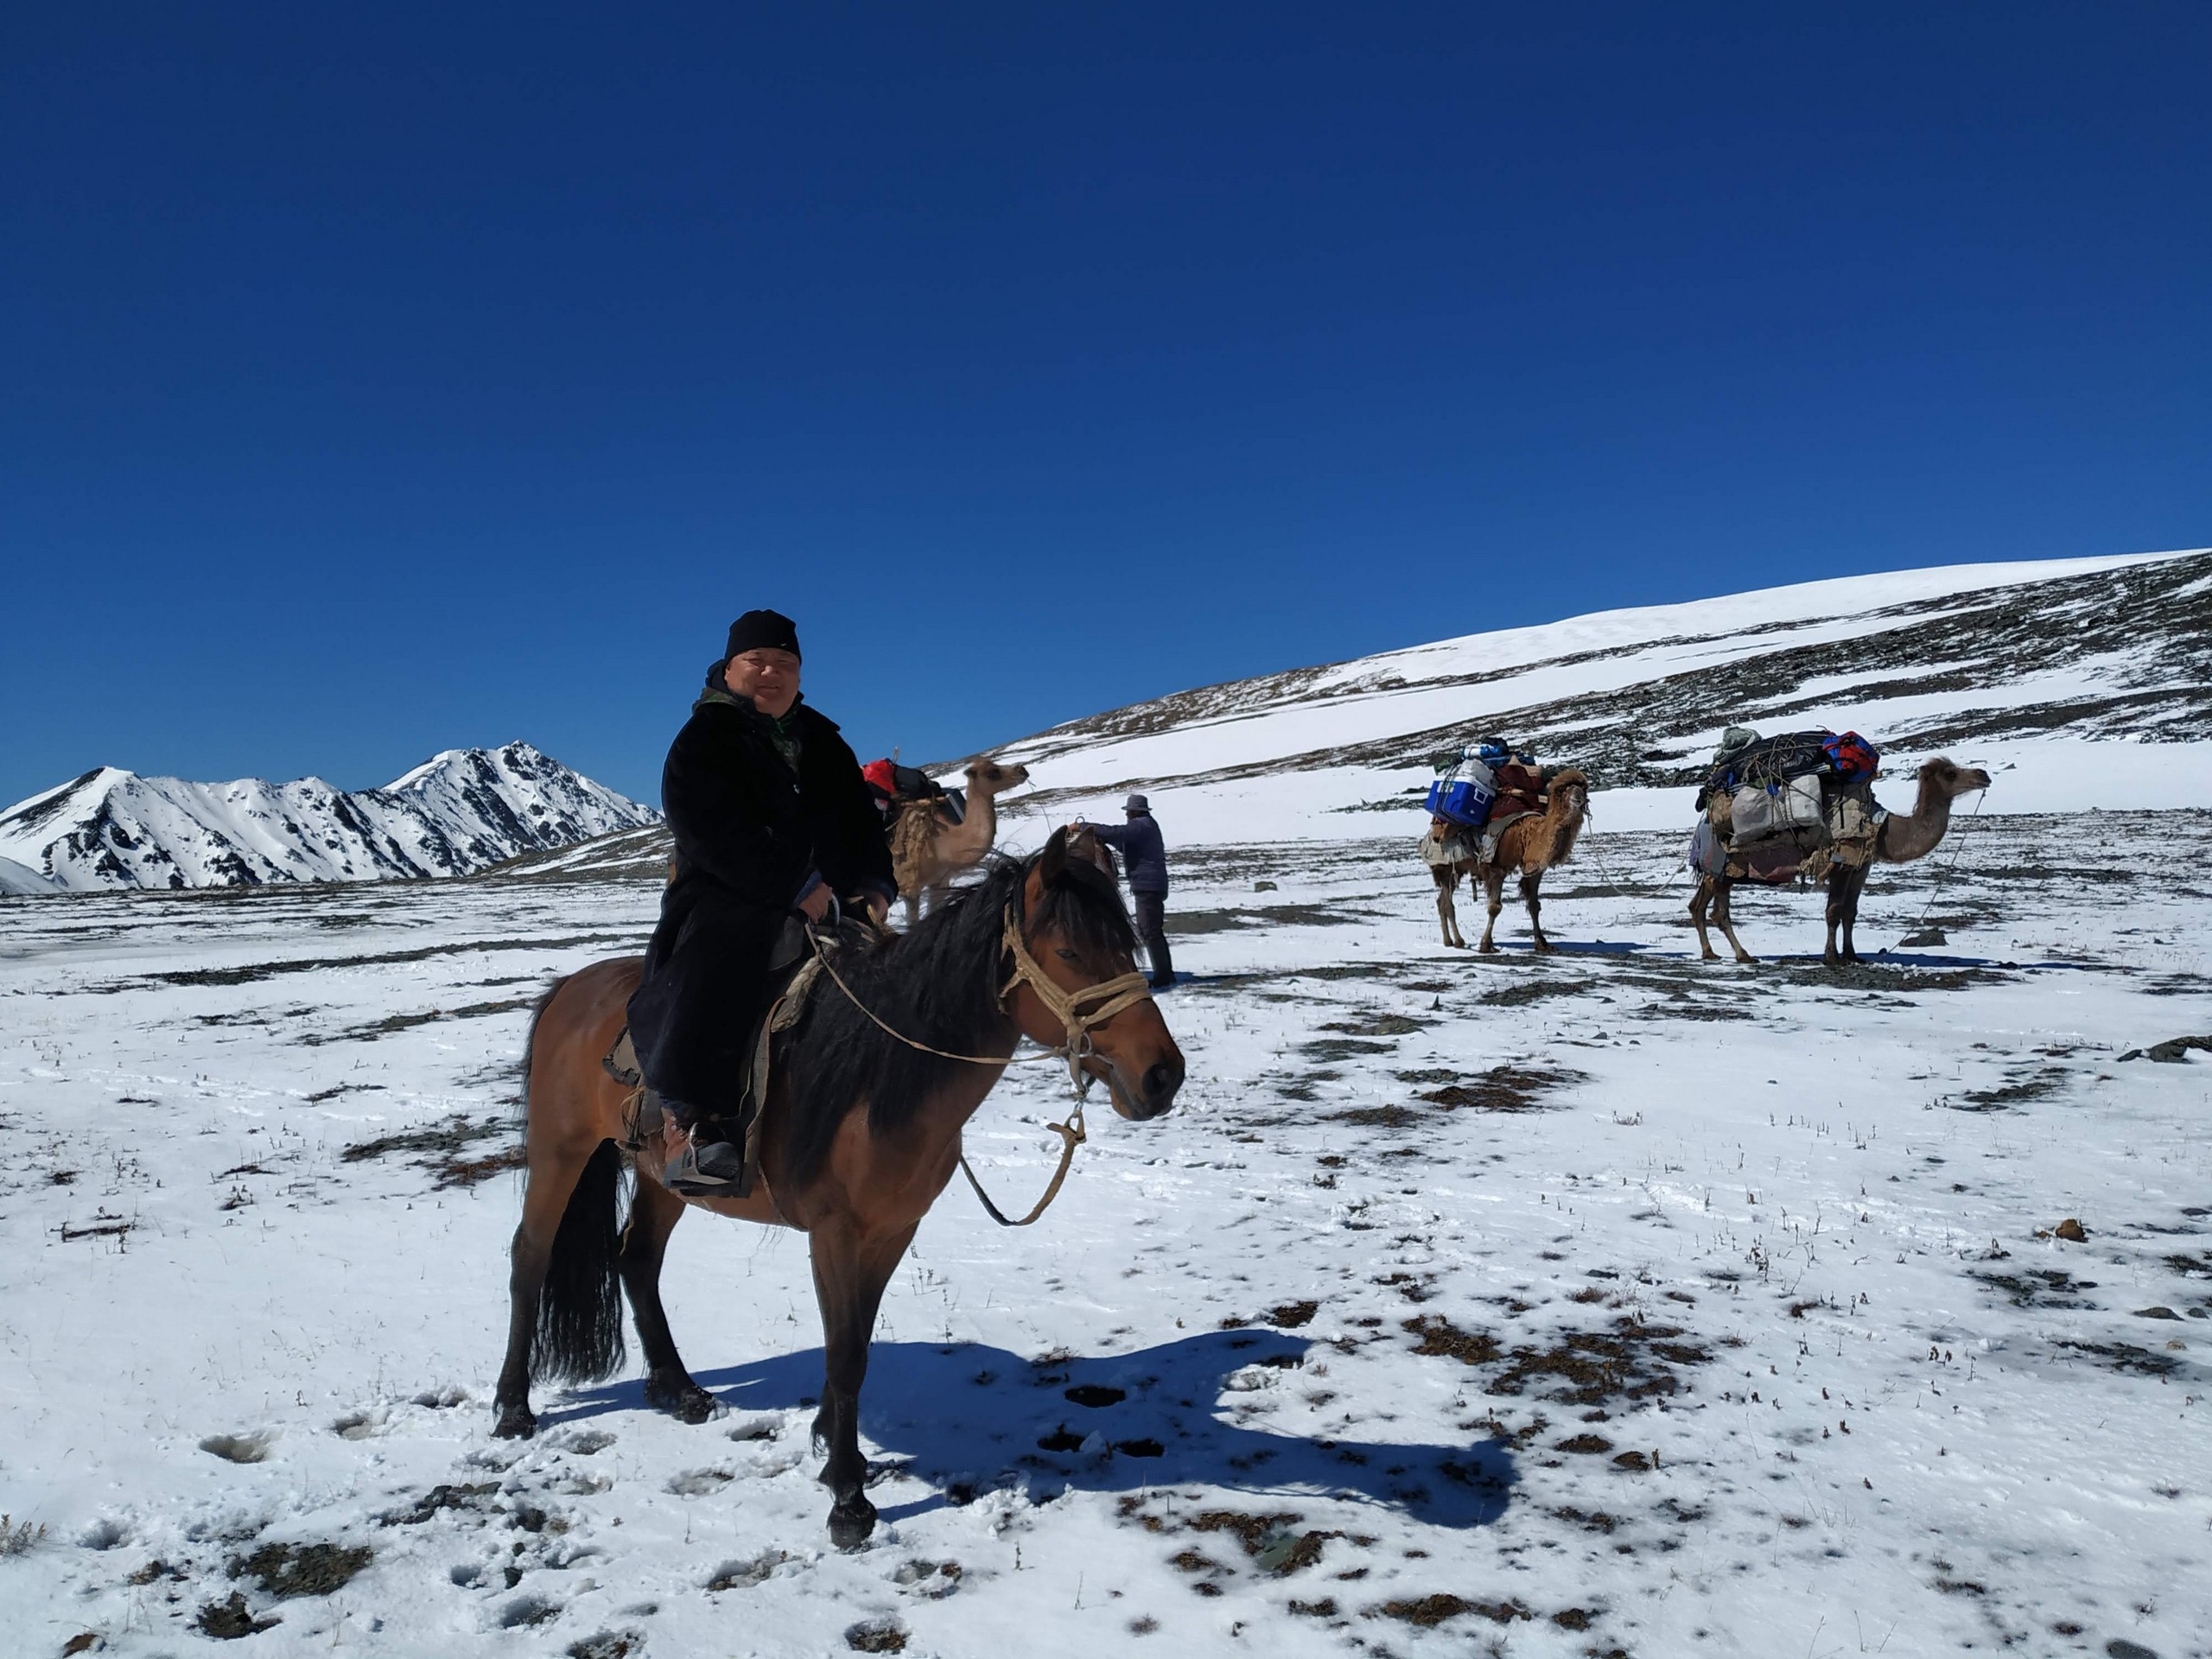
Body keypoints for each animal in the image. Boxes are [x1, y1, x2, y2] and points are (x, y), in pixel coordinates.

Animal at [493, 831, 1185, 1548]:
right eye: (1071, 952)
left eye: (1127, 945)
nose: (1163, 1075)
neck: (879, 1077)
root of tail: (569, 988)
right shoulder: (835, 1232)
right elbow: (847, 1351)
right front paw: (849, 1497)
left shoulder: (892, 1230)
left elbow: (855, 1342)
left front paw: (830, 1442)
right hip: (561, 1150)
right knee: (530, 1255)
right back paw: (514, 1406)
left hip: (664, 1177)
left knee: (637, 1258)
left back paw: (677, 1389)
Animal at [1433, 774, 1592, 955]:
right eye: (1564, 789)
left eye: (1583, 788)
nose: (1579, 797)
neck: (1529, 835)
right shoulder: (1497, 867)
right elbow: (1495, 907)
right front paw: (1486, 945)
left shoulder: (1535, 869)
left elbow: (1534, 905)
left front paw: (1543, 943)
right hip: (1444, 865)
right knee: (1448, 903)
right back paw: (1458, 941)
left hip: (1457, 869)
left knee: (1441, 900)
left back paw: (1448, 941)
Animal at [1689, 756, 1991, 969]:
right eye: (1950, 773)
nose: (1983, 775)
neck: (1882, 828)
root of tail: (1705, 824)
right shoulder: (1841, 861)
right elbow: (1833, 911)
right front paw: (1832, 957)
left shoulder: (1861, 866)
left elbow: (1850, 912)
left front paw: (1853, 955)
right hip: (1723, 865)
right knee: (1719, 912)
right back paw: (1743, 955)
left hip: (1723, 871)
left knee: (1699, 906)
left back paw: (1710, 953)